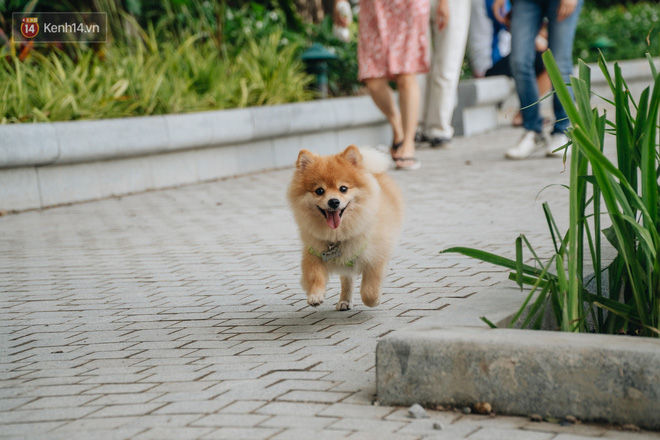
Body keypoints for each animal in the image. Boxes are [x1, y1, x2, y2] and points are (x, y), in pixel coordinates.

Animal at [288, 144, 404, 310]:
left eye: (343, 188)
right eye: (319, 191)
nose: (334, 201)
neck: (338, 234)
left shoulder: (376, 255)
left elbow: (369, 290)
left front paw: (374, 300)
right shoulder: (313, 253)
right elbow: (314, 276)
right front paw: (315, 296)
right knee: (347, 278)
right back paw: (344, 300)